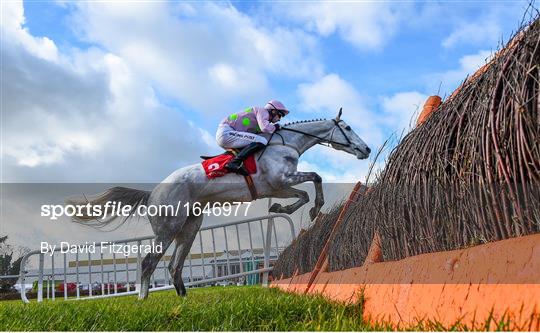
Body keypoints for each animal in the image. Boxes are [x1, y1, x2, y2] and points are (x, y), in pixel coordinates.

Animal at [69, 109, 370, 298]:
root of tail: (153, 192)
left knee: (174, 266)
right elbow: (316, 178)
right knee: (148, 262)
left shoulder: (278, 187)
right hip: (168, 228)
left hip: (190, 227)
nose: (366, 149)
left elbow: (303, 194)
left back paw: (183, 297)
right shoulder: (280, 181)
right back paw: (143, 299)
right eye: (348, 127)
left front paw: (288, 209)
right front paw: (314, 207)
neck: (286, 144)